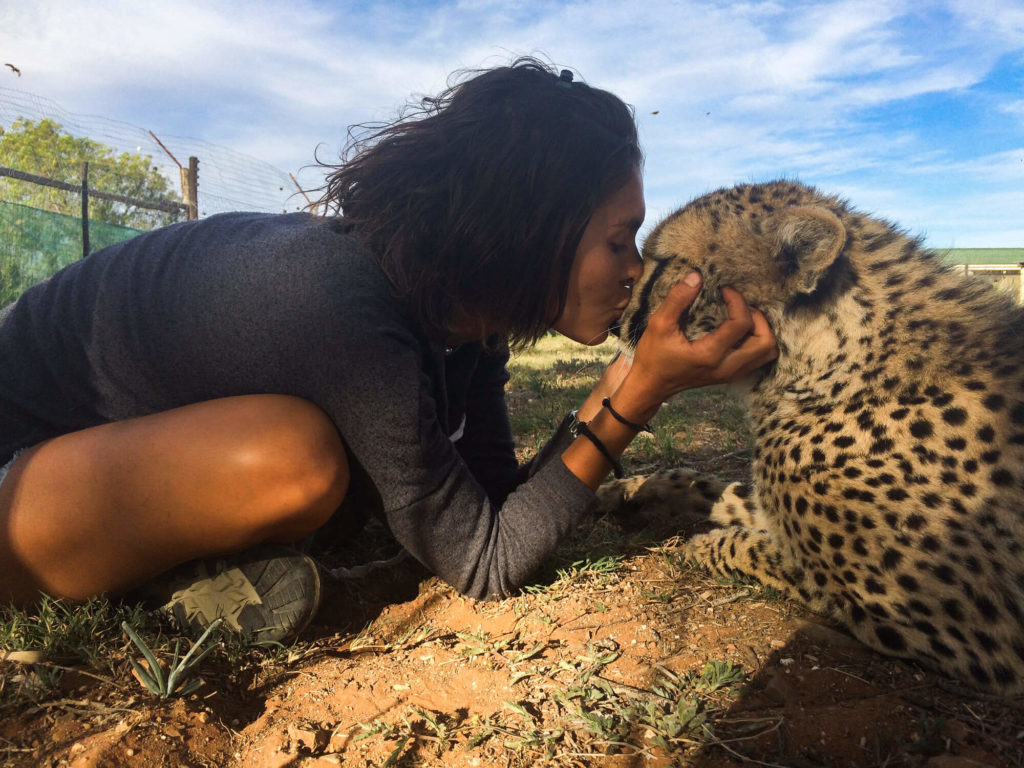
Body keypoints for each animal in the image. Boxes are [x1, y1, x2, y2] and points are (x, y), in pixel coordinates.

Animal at [614, 182, 1024, 696]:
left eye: (664, 261)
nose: (617, 318)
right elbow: (717, 489)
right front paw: (626, 489)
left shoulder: (973, 635)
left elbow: (774, 555)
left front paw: (703, 544)